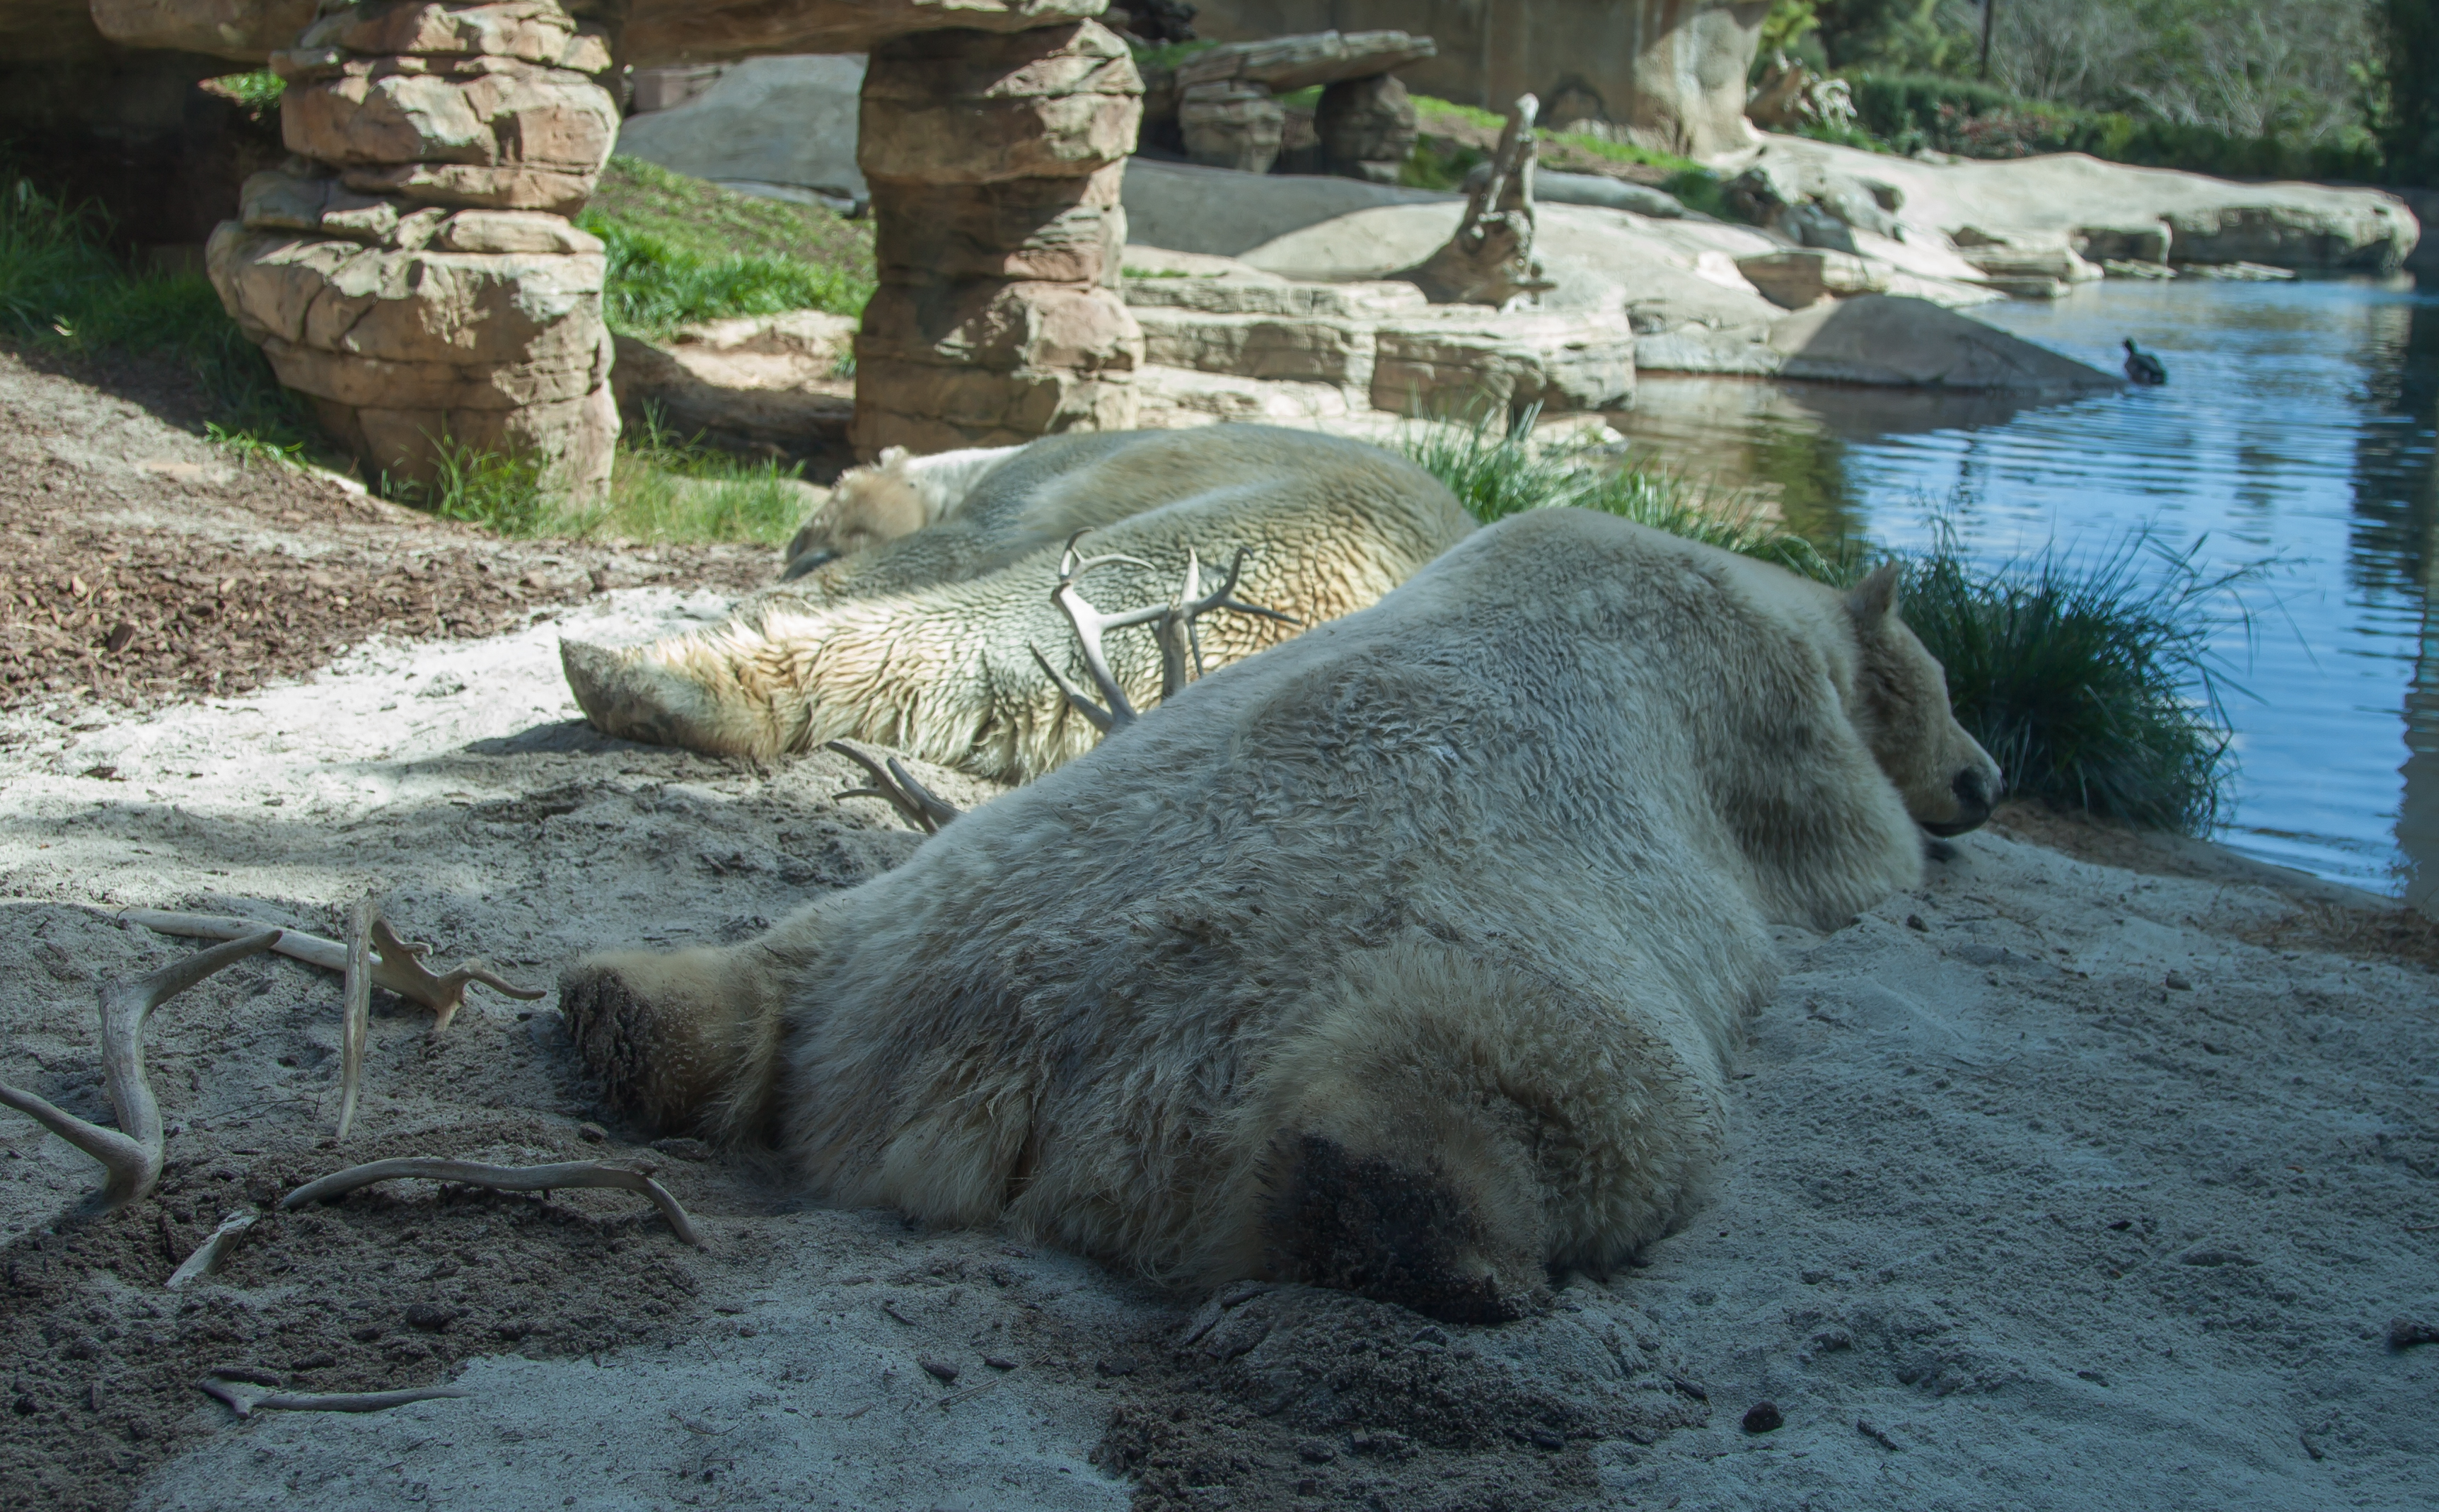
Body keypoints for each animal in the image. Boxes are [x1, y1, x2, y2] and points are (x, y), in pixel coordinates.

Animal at [558, 507, 2000, 1326]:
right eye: (1942, 691)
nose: (1990, 778)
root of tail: (997, 1049)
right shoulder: (1774, 733)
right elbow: (1861, 852)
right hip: (1482, 966)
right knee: (1553, 1087)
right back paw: (1426, 1227)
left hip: (894, 910)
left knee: (766, 968)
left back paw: (620, 1013)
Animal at [561, 424, 1473, 780]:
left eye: (811, 523)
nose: (794, 552)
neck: (981, 458)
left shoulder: (1023, 489)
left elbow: (939, 554)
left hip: (1248, 536)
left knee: (1007, 615)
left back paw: (630, 675)